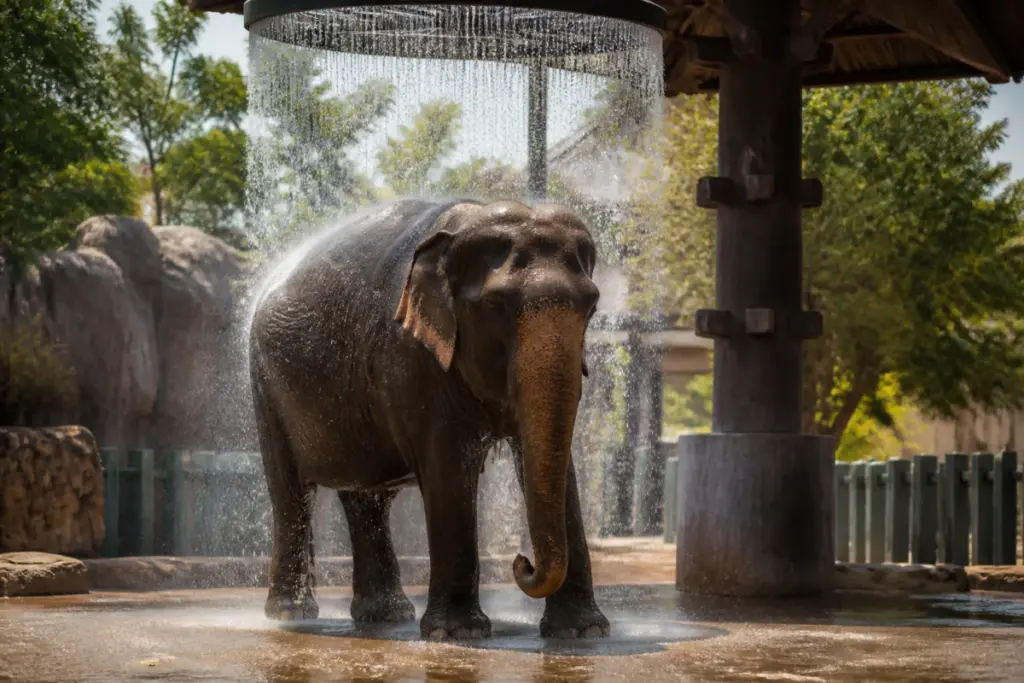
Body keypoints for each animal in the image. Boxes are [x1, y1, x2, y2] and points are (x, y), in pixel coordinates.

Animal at [248, 197, 608, 639]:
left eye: (592, 307)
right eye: (496, 306)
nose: (521, 561)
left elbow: (556, 469)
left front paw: (583, 632)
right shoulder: (410, 357)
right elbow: (448, 471)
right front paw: (457, 635)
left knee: (365, 497)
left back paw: (386, 616)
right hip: (266, 388)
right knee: (290, 493)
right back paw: (290, 614)